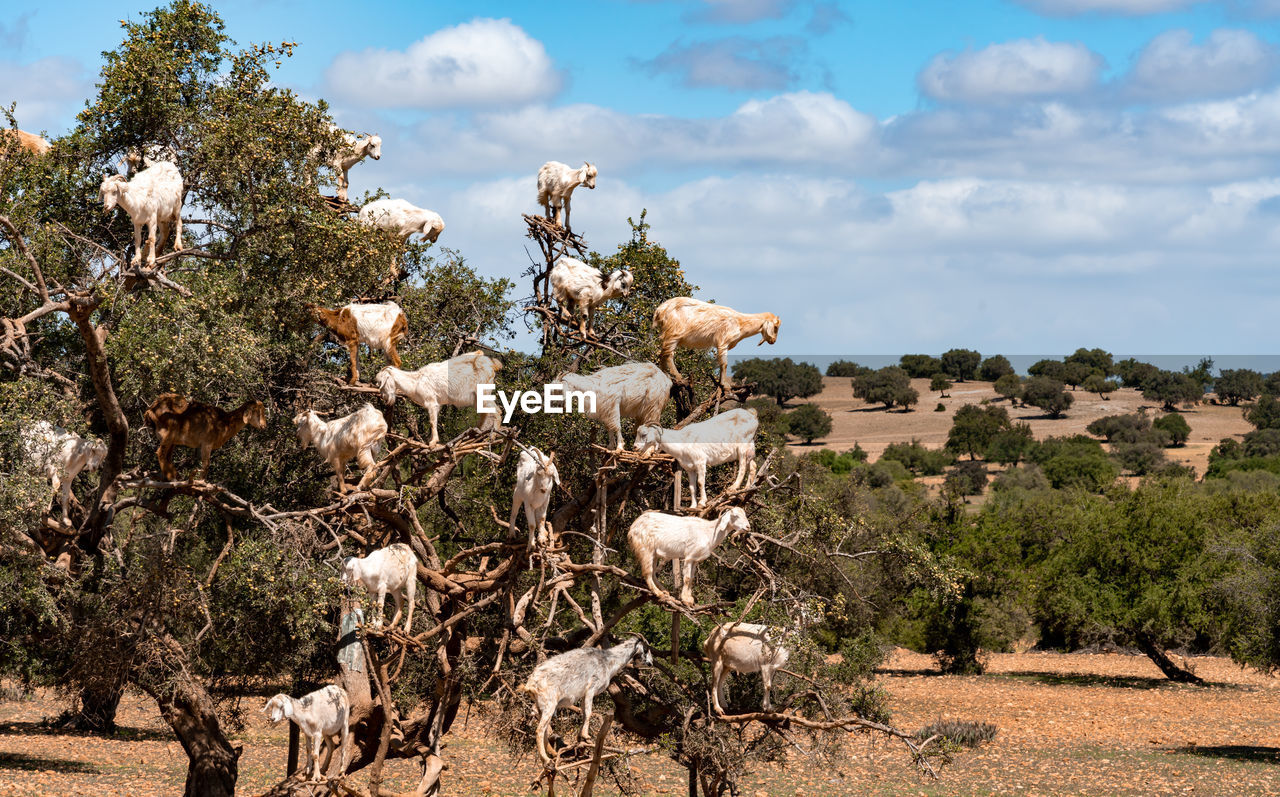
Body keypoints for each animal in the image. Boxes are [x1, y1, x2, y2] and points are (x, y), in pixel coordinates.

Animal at [517, 637, 650, 767]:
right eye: (646, 649)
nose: (650, 663)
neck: (608, 661)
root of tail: (530, 685)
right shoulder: (591, 689)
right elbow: (589, 712)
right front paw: (586, 735)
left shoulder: (583, 695)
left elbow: (584, 713)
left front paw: (581, 737)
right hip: (549, 704)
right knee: (539, 730)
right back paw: (546, 760)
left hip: (541, 707)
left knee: (544, 729)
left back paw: (553, 755)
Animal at [655, 298, 783, 388]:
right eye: (776, 327)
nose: (773, 341)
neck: (740, 323)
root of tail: (660, 310)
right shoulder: (723, 342)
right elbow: (724, 364)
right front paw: (725, 385)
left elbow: (721, 364)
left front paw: (722, 384)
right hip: (673, 333)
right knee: (668, 354)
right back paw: (678, 377)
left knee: (662, 352)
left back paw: (664, 374)